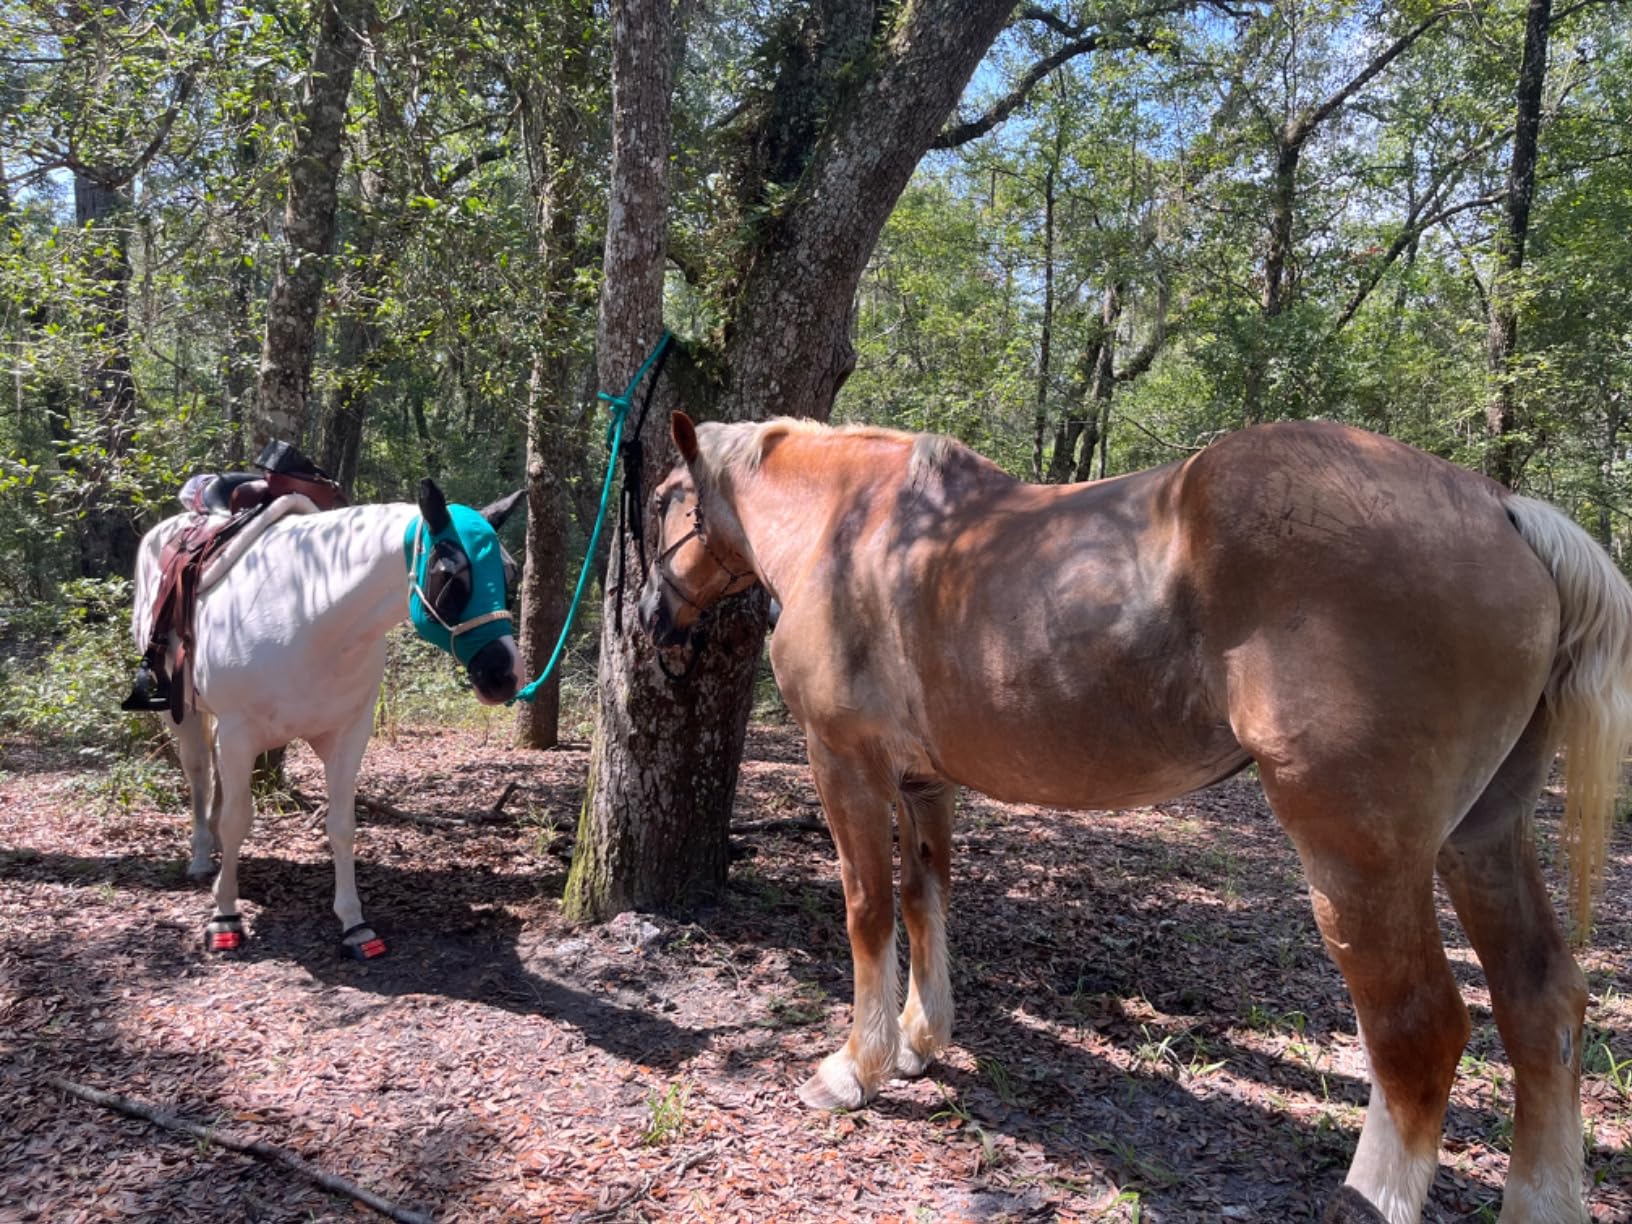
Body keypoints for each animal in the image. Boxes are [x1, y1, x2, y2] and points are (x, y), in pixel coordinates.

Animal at [131, 479, 525, 958]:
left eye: (510, 574)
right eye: (450, 574)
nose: (504, 676)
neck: (312, 613)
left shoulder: (347, 735)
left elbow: (341, 826)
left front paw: (354, 923)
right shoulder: (239, 734)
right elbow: (237, 820)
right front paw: (225, 916)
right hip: (184, 714)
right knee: (201, 777)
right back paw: (203, 857)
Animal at [636, 411, 1632, 1224]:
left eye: (659, 501)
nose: (651, 618)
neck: (854, 529)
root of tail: (1503, 510)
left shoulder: (846, 765)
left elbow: (869, 913)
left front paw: (856, 1067)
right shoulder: (924, 783)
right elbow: (927, 903)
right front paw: (921, 1043)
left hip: (1360, 857)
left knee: (1418, 1036)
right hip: (1481, 839)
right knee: (1541, 1004)